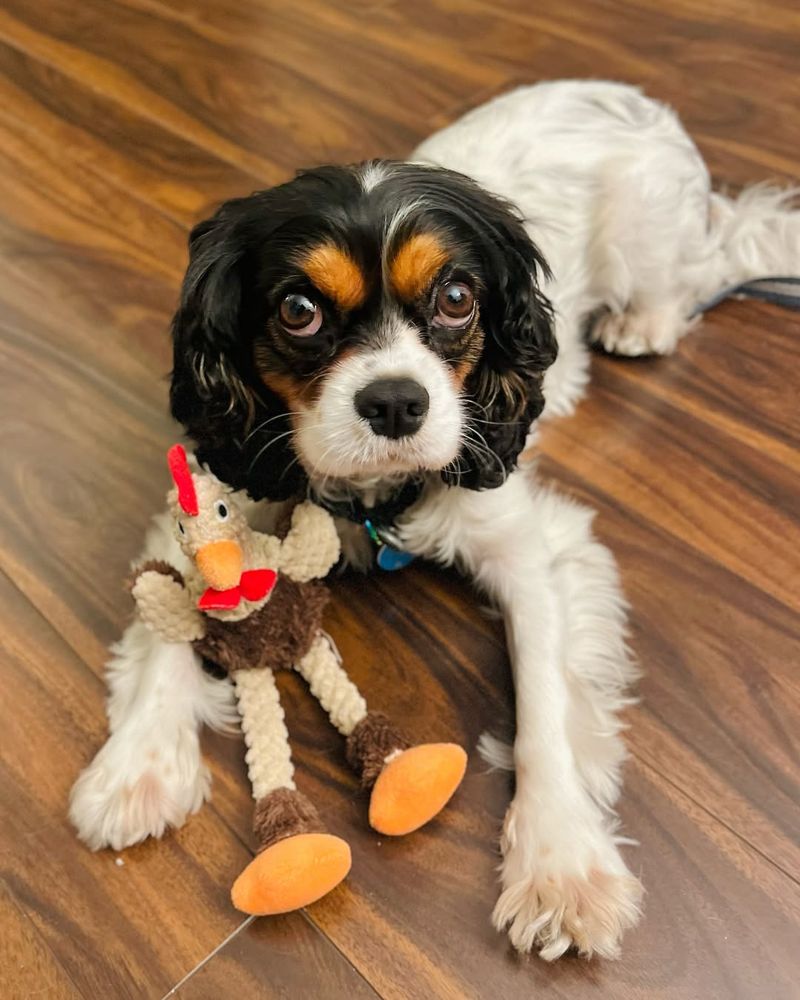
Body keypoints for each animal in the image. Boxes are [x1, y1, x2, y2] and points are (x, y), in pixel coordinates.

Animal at [70, 80, 800, 960]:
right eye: (298, 310)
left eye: (456, 299)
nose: (394, 401)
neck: (370, 495)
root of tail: (637, 99)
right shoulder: (216, 491)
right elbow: (170, 625)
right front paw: (137, 767)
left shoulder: (533, 550)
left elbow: (546, 709)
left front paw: (559, 863)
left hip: (649, 237)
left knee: (695, 275)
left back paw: (642, 324)